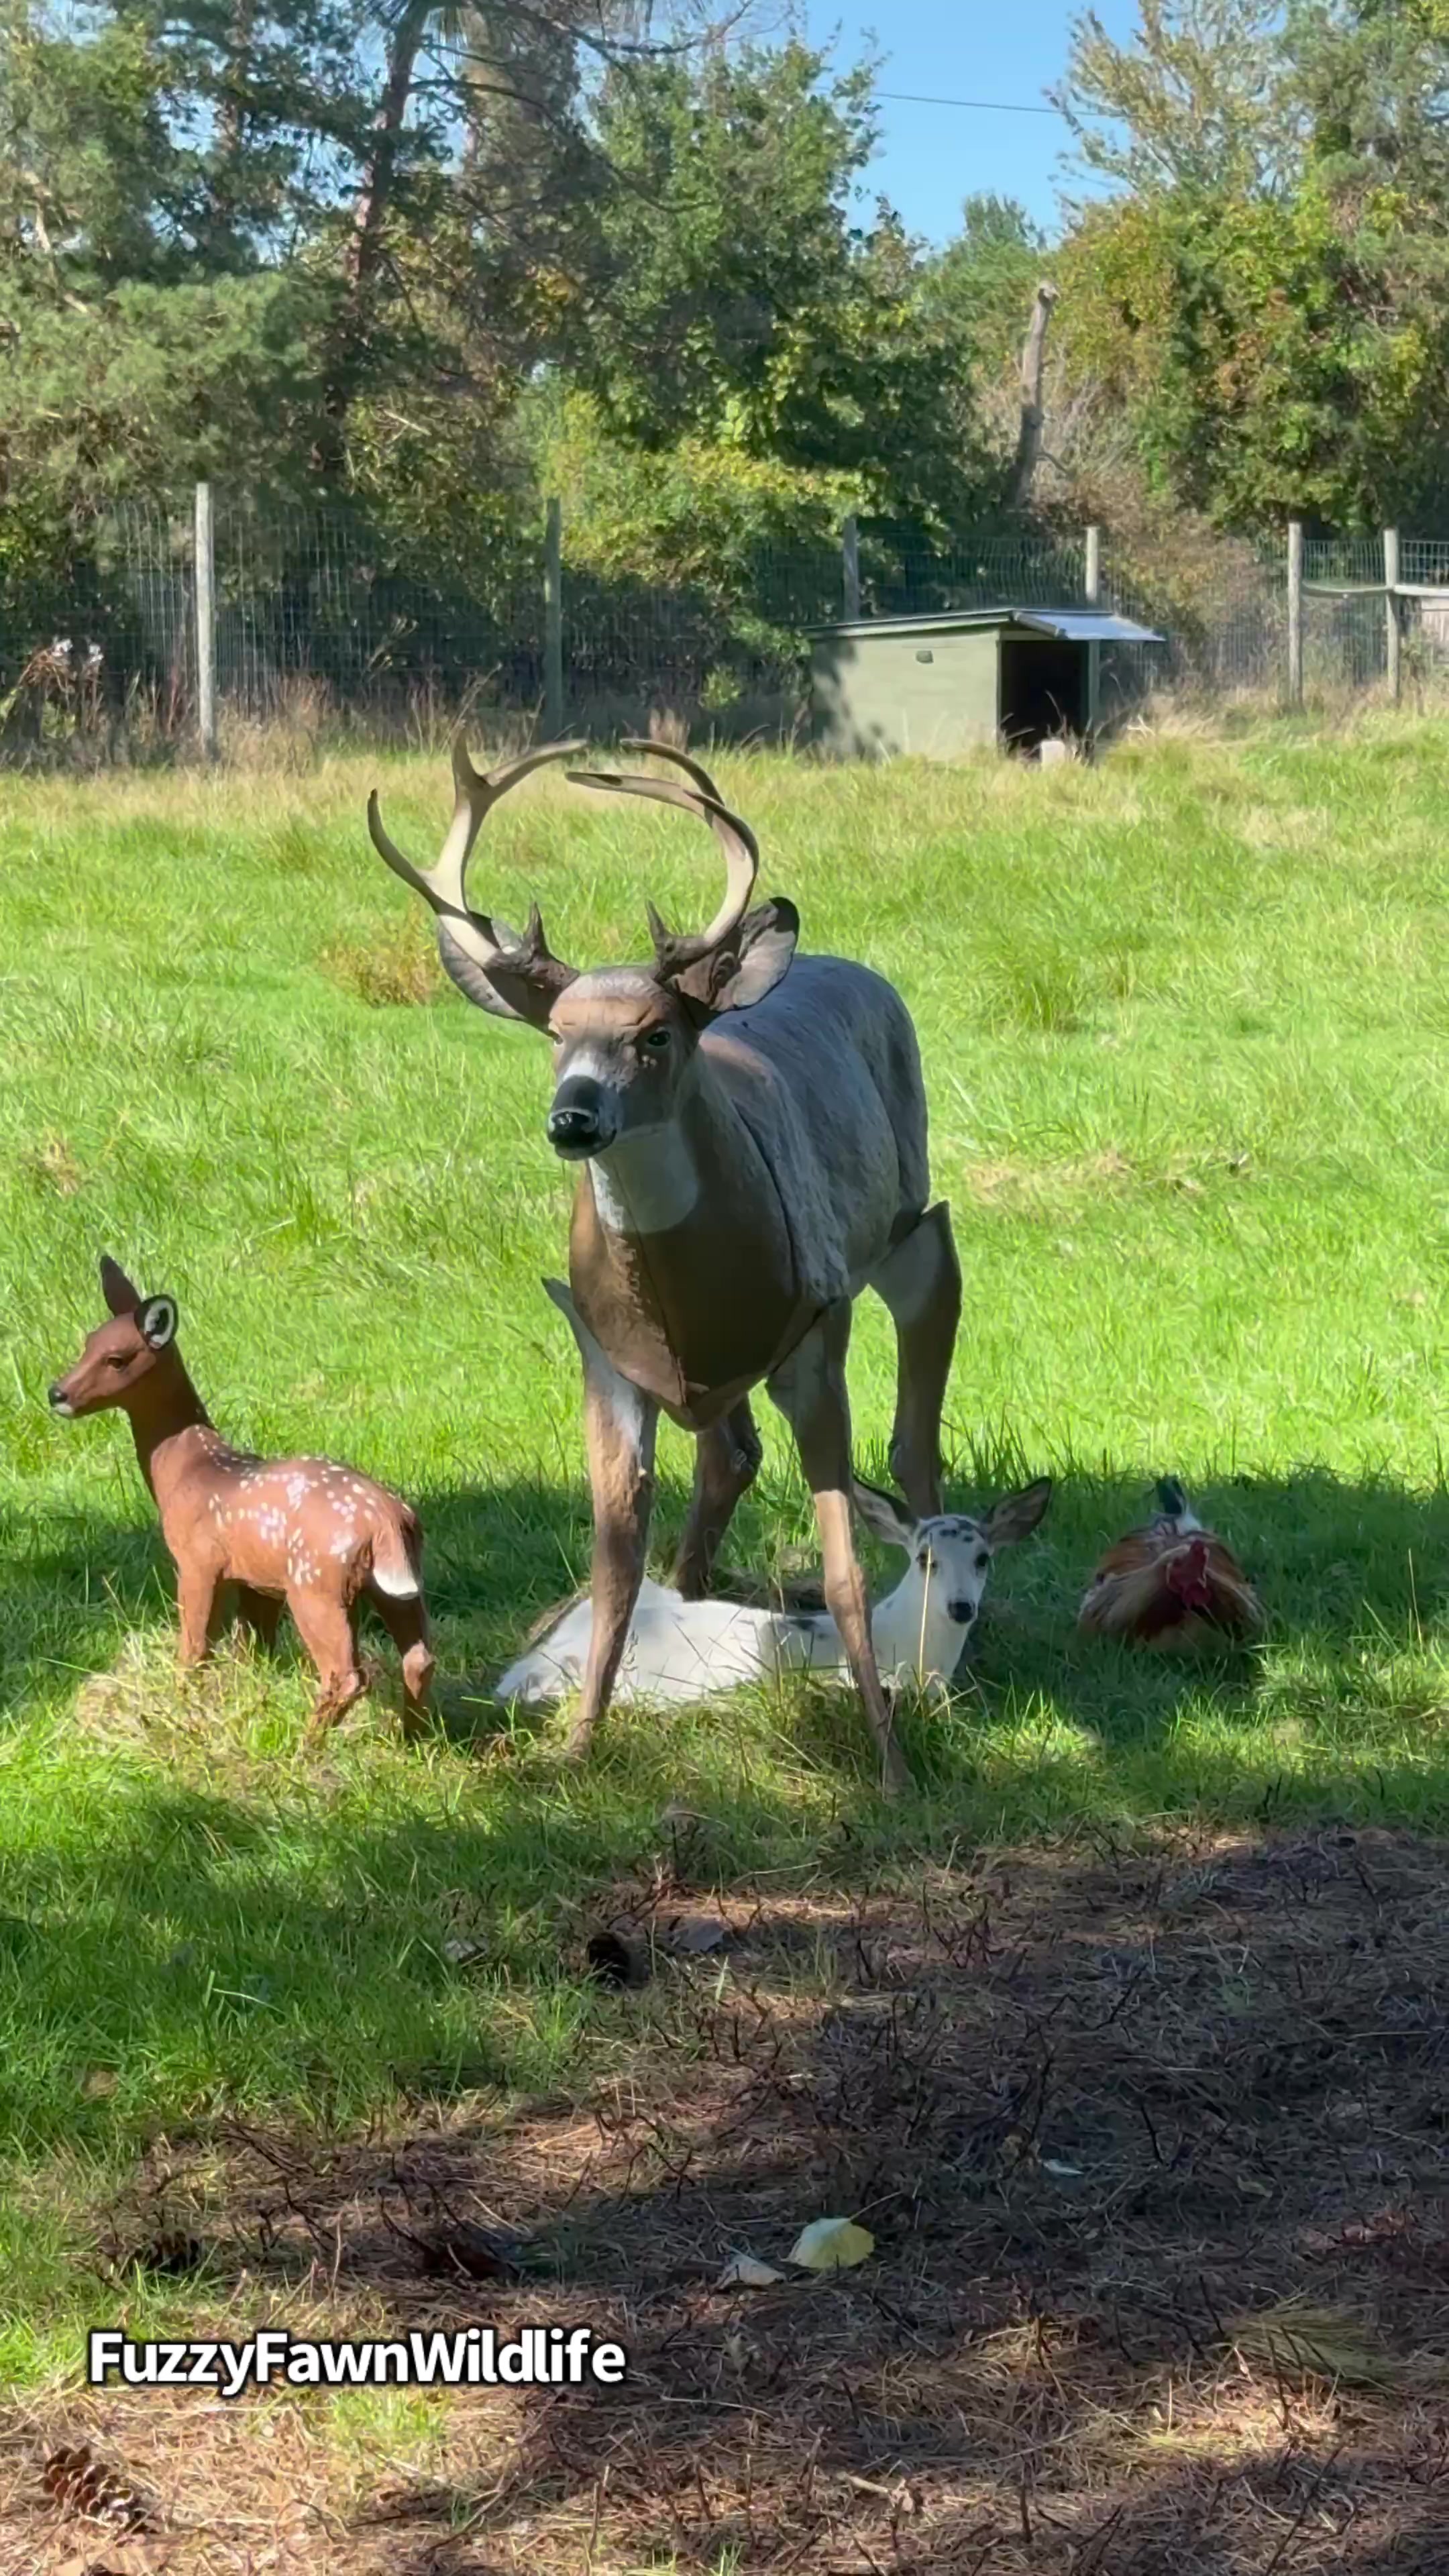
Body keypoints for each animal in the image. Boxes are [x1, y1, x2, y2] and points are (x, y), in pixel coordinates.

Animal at [48, 1257, 435, 1737]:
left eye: (116, 1359)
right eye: (87, 1343)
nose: (57, 1393)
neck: (187, 1469)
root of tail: (385, 1519)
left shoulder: (198, 1560)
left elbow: (195, 1647)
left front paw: (182, 1709)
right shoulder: (256, 1580)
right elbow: (255, 1649)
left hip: (316, 1585)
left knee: (346, 1675)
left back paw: (307, 1745)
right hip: (397, 1586)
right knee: (419, 1659)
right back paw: (412, 1737)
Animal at [366, 738, 962, 1794]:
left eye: (654, 1034)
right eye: (556, 1035)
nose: (572, 1118)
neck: (691, 1297)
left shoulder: (815, 1332)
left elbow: (846, 1561)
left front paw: (892, 1762)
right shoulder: (606, 1354)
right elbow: (613, 1562)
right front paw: (579, 1744)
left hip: (910, 1228)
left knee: (915, 1424)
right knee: (729, 1455)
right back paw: (691, 1595)